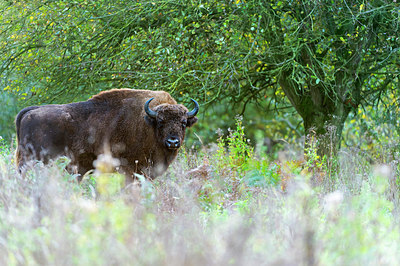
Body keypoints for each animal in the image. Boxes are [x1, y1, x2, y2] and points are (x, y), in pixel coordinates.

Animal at [14, 89, 199, 181]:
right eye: (161, 122)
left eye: (183, 123)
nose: (173, 142)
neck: (148, 123)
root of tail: (30, 112)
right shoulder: (131, 169)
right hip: (33, 160)